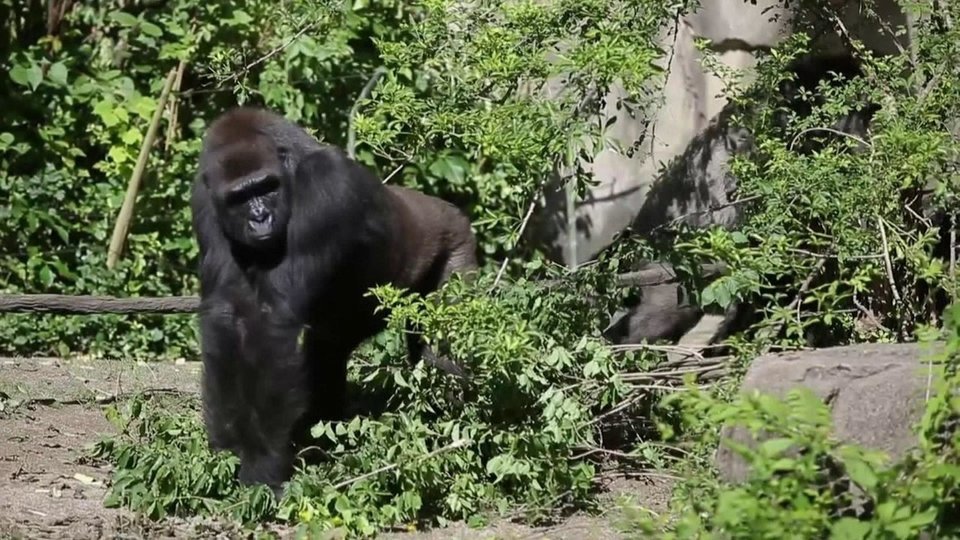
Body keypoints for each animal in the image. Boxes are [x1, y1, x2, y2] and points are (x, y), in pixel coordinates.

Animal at [189, 104, 478, 494]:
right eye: (239, 197)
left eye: (266, 187)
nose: (260, 217)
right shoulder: (205, 201)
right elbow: (225, 314)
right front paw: (226, 448)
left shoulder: (325, 184)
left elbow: (271, 320)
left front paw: (261, 463)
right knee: (326, 352)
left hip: (456, 242)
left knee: (445, 347)